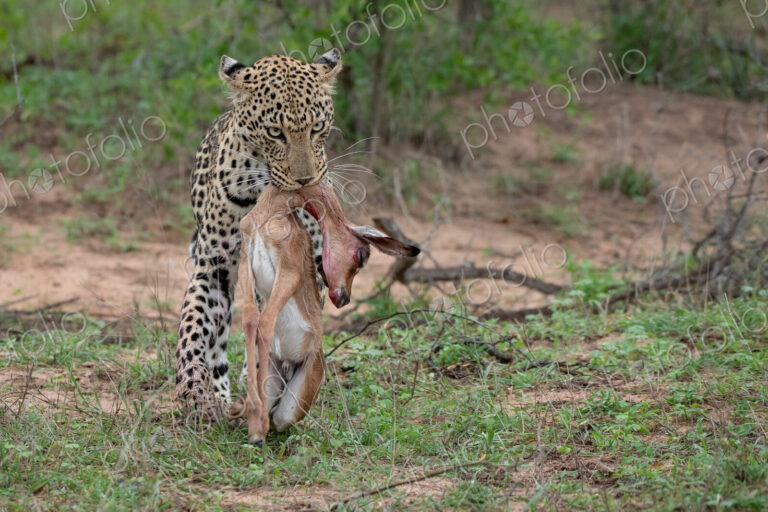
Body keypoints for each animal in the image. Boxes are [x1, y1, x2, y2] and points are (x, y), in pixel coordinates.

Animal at [175, 48, 342, 421]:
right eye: (275, 133)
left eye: (318, 127)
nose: (306, 180)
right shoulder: (214, 268)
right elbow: (192, 329)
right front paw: (194, 391)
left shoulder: (307, 269)